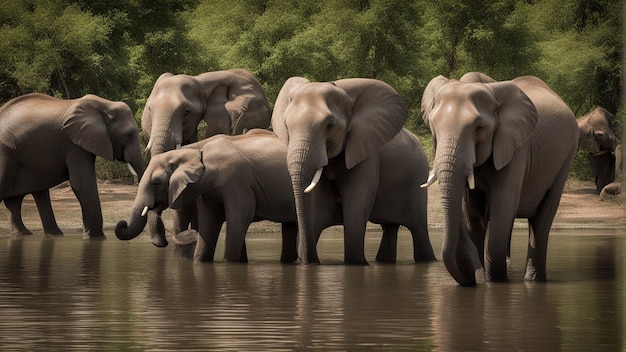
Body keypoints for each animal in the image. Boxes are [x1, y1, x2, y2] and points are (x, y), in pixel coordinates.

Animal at [0, 93, 145, 239]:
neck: (106, 104)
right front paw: (96, 238)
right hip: (5, 153)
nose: (123, 223)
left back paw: (32, 234)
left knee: (24, 198)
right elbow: (82, 184)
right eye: (129, 135)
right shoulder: (74, 145)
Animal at [268, 76, 434, 264]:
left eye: (330, 125)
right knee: (390, 228)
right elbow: (316, 209)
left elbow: (357, 204)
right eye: (286, 125)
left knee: (418, 228)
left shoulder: (365, 155)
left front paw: (356, 263)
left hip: (417, 179)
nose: (307, 260)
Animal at [420, 74, 576, 286]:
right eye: (433, 127)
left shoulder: (516, 148)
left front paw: (494, 282)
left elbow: (501, 210)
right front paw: (480, 279)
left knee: (542, 219)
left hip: (567, 154)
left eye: (478, 128)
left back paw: (533, 281)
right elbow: (470, 216)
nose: (468, 274)